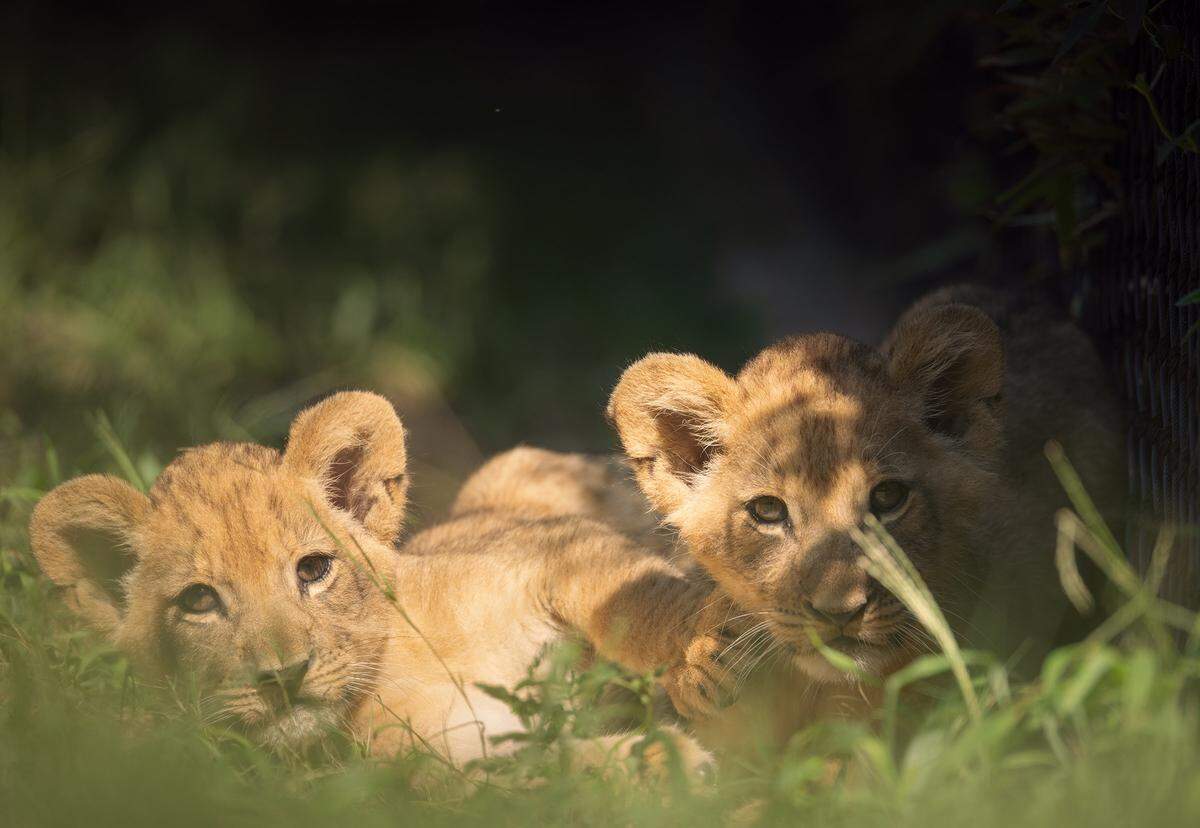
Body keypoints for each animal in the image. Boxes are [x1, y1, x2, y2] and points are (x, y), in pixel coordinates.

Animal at [29, 391, 731, 776]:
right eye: (198, 601)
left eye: (313, 569)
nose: (284, 675)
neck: (398, 682)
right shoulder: (432, 779)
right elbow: (543, 778)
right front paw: (664, 767)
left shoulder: (553, 549)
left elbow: (637, 600)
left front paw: (703, 656)